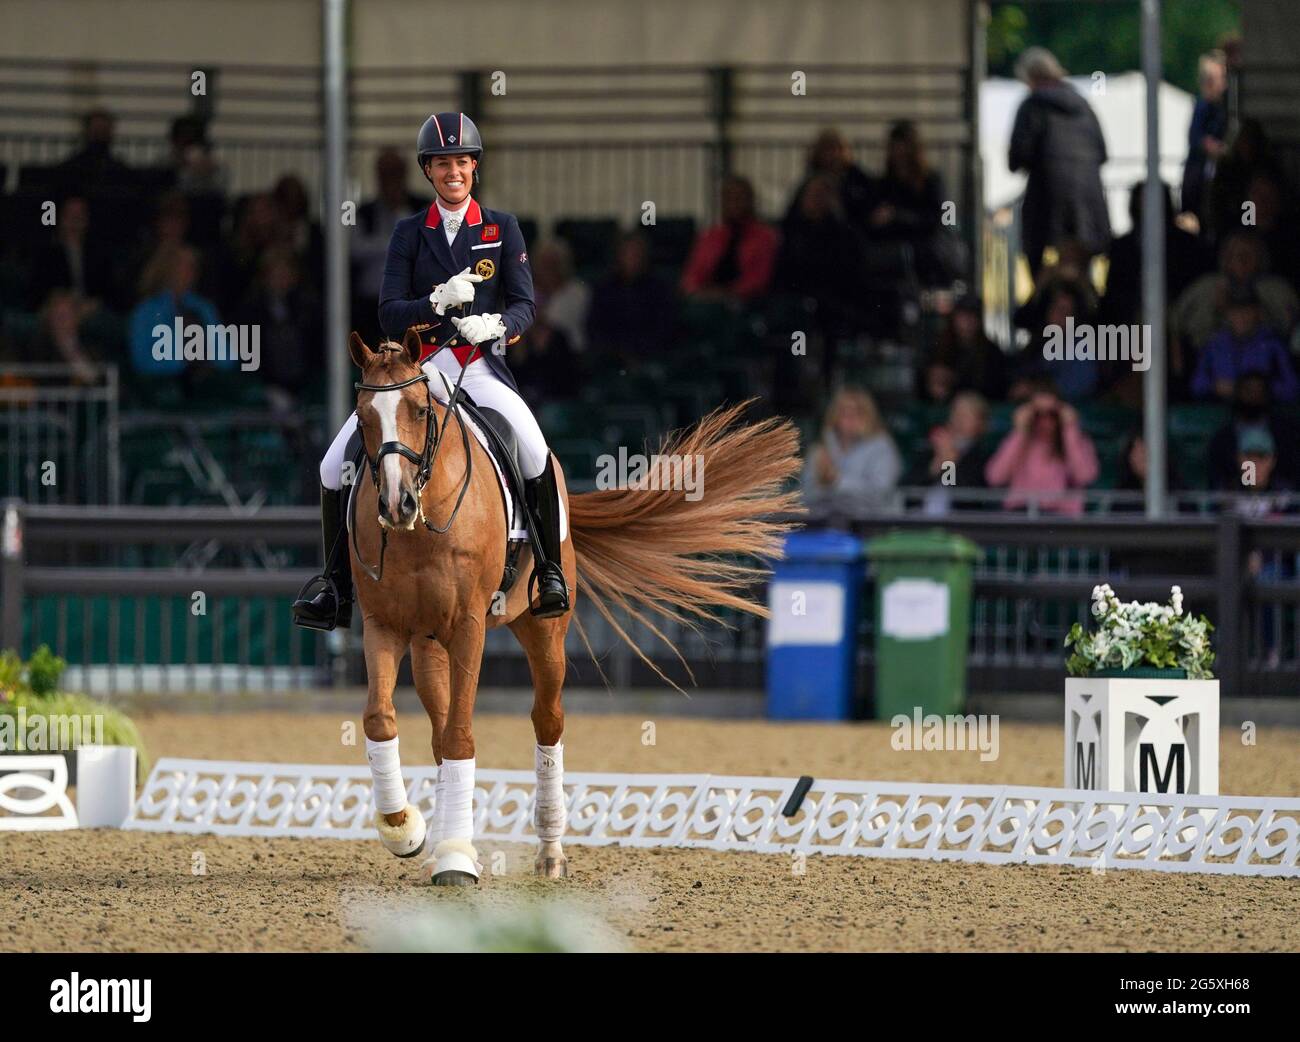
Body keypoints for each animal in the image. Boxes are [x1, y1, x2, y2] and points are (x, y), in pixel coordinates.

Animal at [345, 328, 795, 883]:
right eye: (362, 416)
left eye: (418, 409)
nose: (396, 504)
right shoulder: (382, 625)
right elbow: (380, 720)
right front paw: (406, 830)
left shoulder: (469, 625)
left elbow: (461, 738)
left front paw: (453, 858)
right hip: (429, 641)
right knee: (438, 723)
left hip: (544, 633)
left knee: (546, 721)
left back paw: (550, 852)